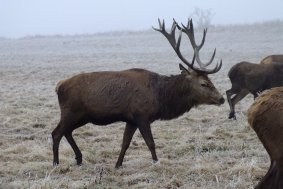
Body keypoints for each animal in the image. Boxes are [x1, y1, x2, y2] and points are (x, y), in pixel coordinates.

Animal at [51, 18, 224, 168]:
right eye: (204, 83)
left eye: (210, 80)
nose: (221, 98)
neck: (160, 96)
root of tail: (59, 85)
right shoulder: (141, 115)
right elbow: (151, 142)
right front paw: (156, 163)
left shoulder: (131, 120)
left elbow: (125, 143)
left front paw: (118, 165)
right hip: (71, 111)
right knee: (56, 133)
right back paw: (56, 163)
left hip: (82, 116)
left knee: (67, 131)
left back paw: (79, 158)